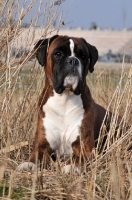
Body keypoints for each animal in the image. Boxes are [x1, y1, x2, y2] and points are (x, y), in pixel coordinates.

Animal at [17, 35, 110, 173]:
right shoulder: (42, 145)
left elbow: (78, 159)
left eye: (83, 56)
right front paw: (28, 164)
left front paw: (72, 167)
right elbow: (35, 157)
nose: (73, 61)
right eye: (58, 54)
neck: (64, 100)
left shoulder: (86, 149)